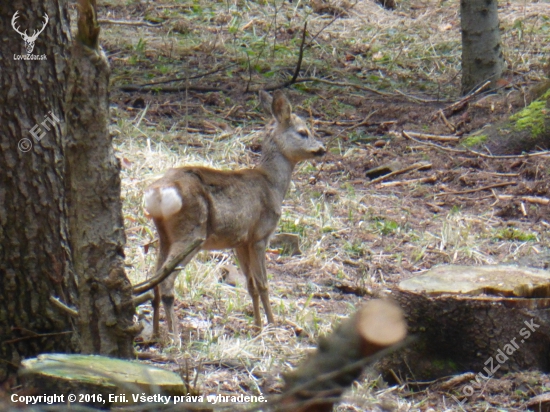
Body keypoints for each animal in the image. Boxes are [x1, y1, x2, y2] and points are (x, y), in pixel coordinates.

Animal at [144, 89, 328, 334]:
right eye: (303, 132)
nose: (322, 149)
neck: (272, 185)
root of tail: (158, 192)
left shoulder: (240, 241)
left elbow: (250, 285)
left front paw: (257, 326)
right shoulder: (260, 235)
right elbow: (263, 283)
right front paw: (272, 325)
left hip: (165, 234)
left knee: (154, 278)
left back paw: (157, 332)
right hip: (191, 233)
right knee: (166, 281)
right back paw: (174, 335)